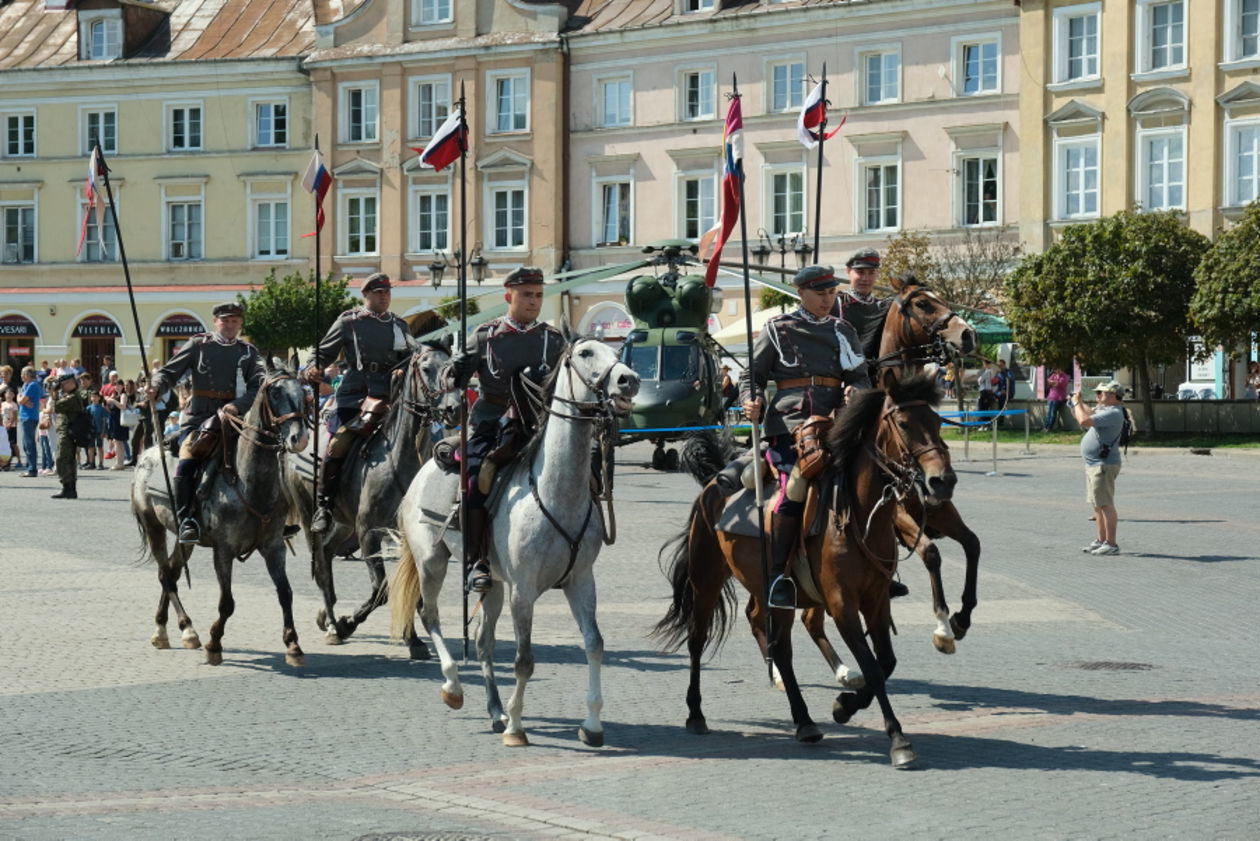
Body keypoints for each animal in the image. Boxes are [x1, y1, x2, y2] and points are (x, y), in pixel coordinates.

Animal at [385, 337, 640, 746]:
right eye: (586, 353)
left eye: (616, 351)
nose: (628, 380)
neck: (556, 492)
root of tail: (422, 471)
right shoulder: (524, 590)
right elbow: (524, 660)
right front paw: (517, 728)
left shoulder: (581, 581)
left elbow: (594, 644)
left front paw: (592, 724)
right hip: (432, 562)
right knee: (430, 614)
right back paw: (454, 687)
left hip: (492, 584)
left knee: (482, 640)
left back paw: (495, 710)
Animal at [660, 375, 952, 771]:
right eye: (904, 423)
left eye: (936, 420)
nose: (943, 481)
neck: (856, 513)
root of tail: (715, 481)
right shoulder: (842, 605)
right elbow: (874, 668)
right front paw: (897, 739)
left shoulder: (876, 600)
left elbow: (886, 662)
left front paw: (845, 706)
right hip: (706, 579)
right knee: (696, 639)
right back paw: (696, 713)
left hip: (776, 592)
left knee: (777, 645)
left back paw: (803, 720)